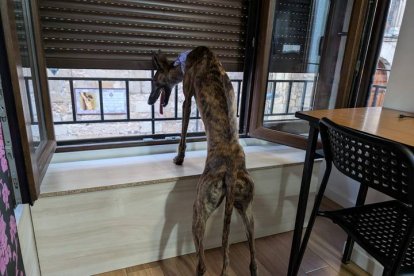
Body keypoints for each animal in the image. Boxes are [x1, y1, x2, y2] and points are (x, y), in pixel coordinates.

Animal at [149, 47, 258, 276]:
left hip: (198, 212)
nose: (149, 102)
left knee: (202, 263)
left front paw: (179, 159)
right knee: (253, 258)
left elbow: (183, 132)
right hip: (247, 208)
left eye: (154, 81)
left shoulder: (187, 98)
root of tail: (232, 170)